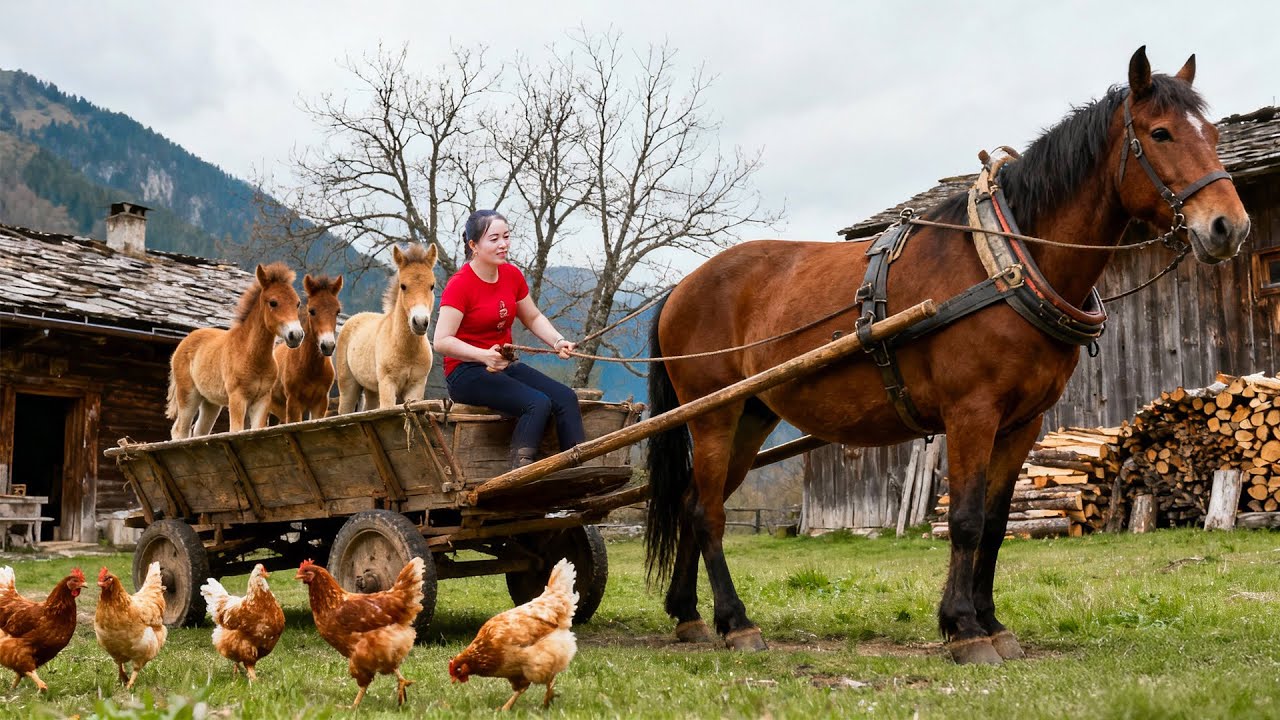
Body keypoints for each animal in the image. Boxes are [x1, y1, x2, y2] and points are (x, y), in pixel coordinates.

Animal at [167, 263, 304, 438]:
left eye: (297, 303)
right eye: (273, 302)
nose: (296, 335)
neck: (251, 355)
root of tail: (184, 342)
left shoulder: (262, 400)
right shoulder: (237, 398)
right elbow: (236, 430)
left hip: (210, 402)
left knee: (200, 431)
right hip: (188, 394)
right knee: (180, 430)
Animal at [270, 274, 344, 423]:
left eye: (337, 311)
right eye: (312, 311)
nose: (328, 346)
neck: (310, 369)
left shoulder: (320, 404)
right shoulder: (293, 404)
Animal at [334, 243, 438, 412]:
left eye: (432, 286)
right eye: (403, 286)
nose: (420, 322)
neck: (406, 349)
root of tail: (354, 318)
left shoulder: (416, 387)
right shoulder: (387, 384)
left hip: (371, 390)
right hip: (348, 386)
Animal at [644, 48, 1250, 664]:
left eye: (1212, 134)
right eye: (1160, 133)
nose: (1229, 227)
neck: (1007, 262)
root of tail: (682, 287)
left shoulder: (1022, 424)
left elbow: (997, 522)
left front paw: (991, 622)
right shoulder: (970, 413)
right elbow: (964, 518)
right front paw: (964, 628)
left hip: (751, 415)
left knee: (693, 504)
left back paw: (689, 615)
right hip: (713, 416)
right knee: (708, 512)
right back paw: (735, 620)